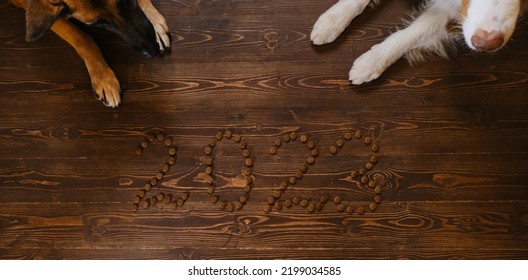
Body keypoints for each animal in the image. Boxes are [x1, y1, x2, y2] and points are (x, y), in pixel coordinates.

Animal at [10, 0, 171, 107]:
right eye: (100, 23)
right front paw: (103, 77)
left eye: (124, 2)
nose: (152, 51)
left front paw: (154, 20)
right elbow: (79, 35)